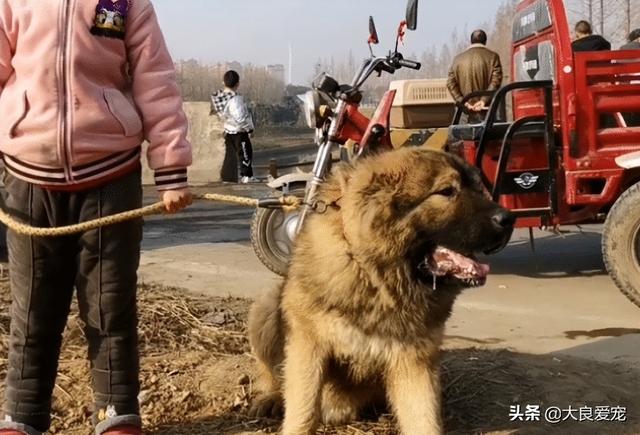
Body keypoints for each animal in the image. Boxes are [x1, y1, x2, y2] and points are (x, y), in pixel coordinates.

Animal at [248, 148, 512, 434]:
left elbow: (424, 419)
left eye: (477, 187)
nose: (509, 218)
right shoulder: (309, 345)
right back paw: (270, 398)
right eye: (446, 191)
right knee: (271, 374)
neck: (375, 276)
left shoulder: (414, 360)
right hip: (267, 307)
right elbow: (303, 410)